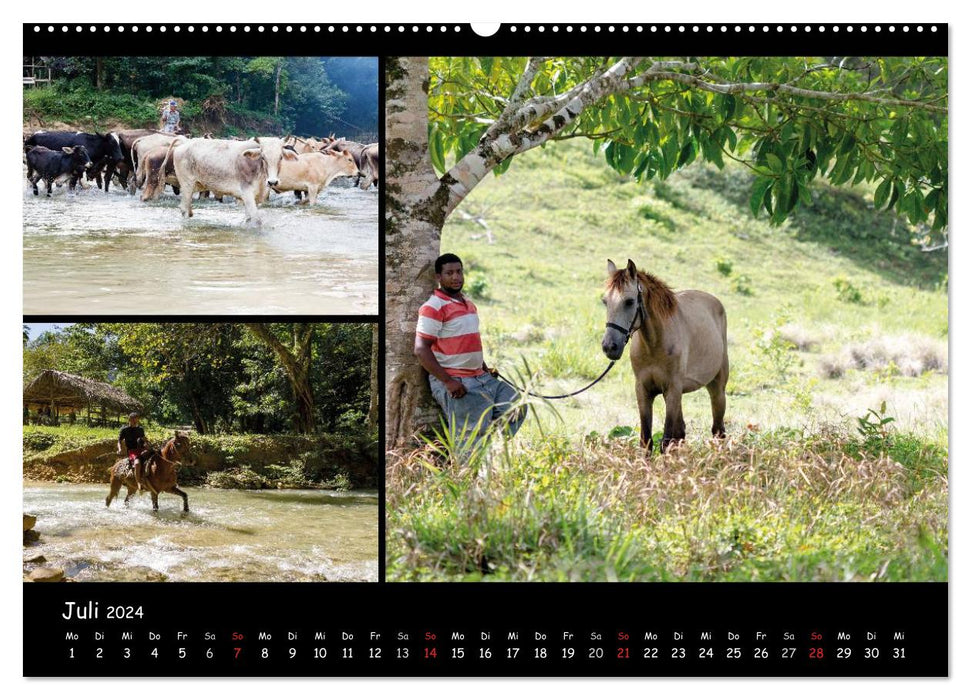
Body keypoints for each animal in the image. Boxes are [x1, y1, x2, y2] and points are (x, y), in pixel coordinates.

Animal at [600, 260, 728, 452]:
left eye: (629, 301)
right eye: (605, 301)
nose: (610, 346)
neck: (654, 345)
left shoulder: (672, 389)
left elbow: (666, 440)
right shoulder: (643, 391)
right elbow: (646, 440)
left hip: (717, 389)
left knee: (718, 431)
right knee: (681, 433)